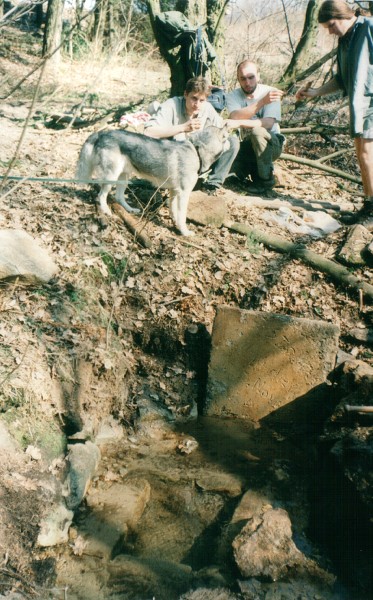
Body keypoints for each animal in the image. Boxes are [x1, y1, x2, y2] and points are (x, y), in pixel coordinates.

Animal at [74, 125, 228, 236]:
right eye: (226, 138)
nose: (231, 143)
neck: (197, 150)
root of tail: (101, 133)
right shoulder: (184, 193)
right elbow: (182, 216)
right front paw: (184, 231)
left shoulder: (174, 191)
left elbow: (173, 211)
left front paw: (175, 223)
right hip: (111, 177)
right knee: (101, 195)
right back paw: (106, 211)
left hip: (123, 178)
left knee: (118, 197)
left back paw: (130, 210)